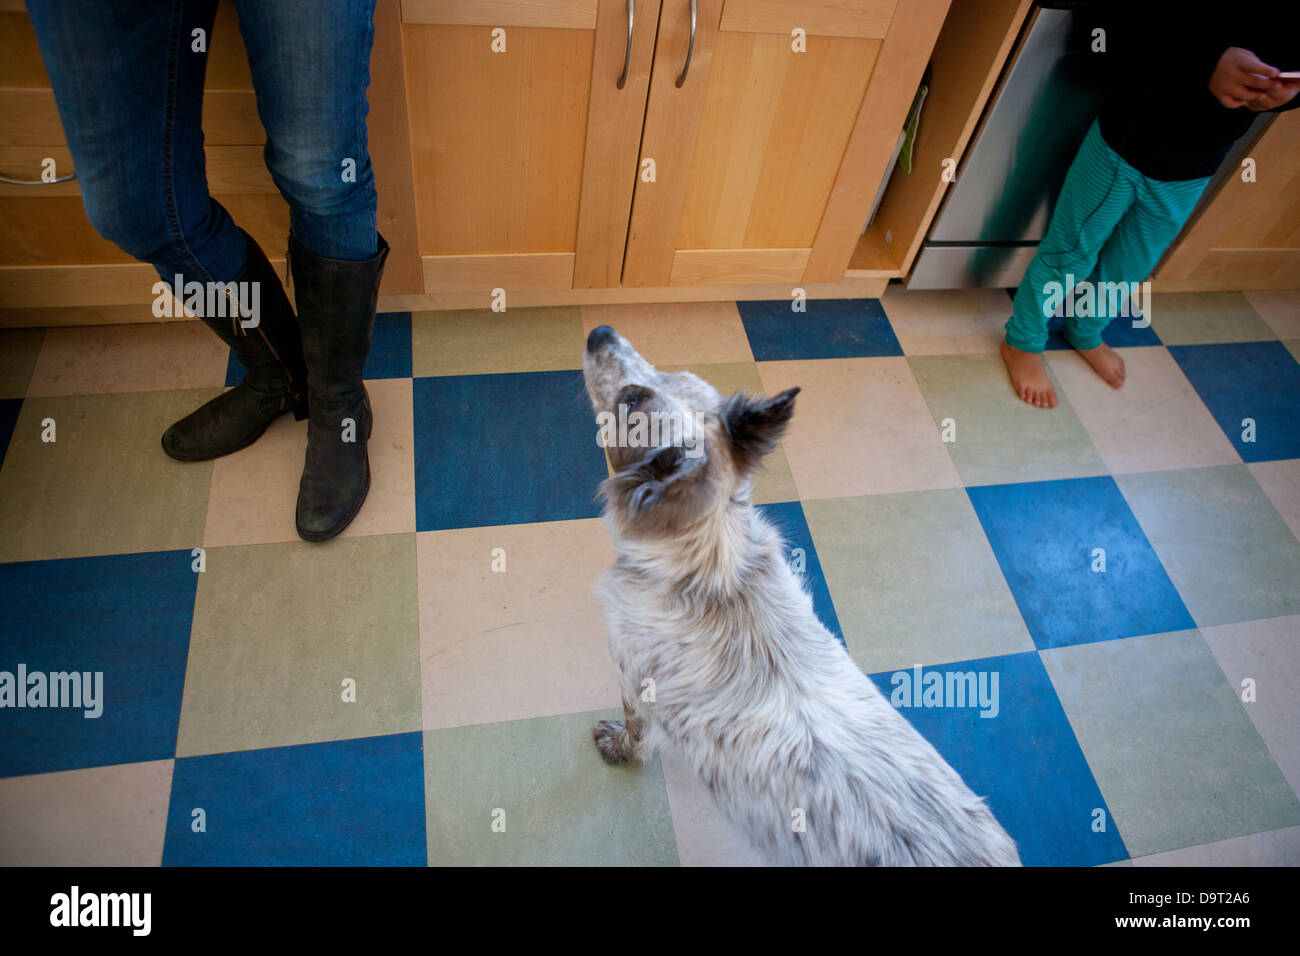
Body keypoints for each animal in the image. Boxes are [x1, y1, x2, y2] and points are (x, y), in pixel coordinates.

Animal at [585, 327, 1019, 868]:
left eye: (630, 401)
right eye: (668, 372)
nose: (599, 332)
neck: (713, 566)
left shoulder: (630, 678)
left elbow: (634, 734)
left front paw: (615, 746)